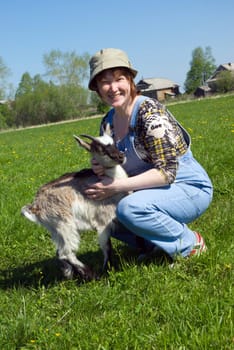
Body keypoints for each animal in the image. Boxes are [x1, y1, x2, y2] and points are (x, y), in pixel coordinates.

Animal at [21, 130, 128, 280]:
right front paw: (108, 270)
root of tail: (35, 206)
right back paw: (90, 275)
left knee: (60, 253)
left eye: (113, 143)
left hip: (55, 229)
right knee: (66, 253)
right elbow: (107, 246)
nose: (120, 156)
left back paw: (71, 273)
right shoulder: (103, 222)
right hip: (64, 224)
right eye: (99, 148)